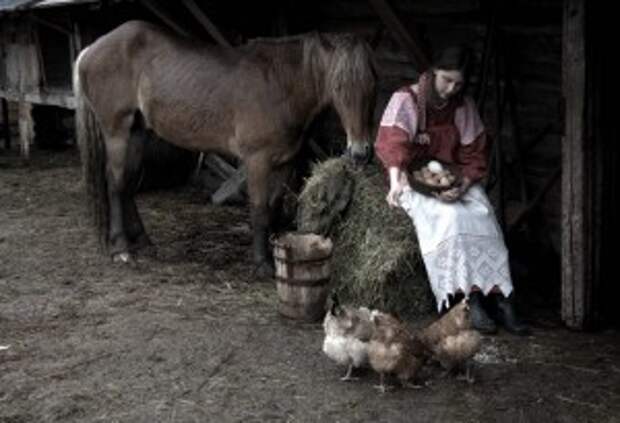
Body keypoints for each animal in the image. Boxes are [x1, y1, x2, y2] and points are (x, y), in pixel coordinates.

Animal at [72, 20, 372, 278]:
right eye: (338, 86)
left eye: (374, 82)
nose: (360, 153)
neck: (279, 83)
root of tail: (89, 50)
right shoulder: (257, 161)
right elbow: (260, 209)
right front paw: (262, 264)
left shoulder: (285, 162)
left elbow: (274, 206)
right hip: (117, 132)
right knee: (115, 184)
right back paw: (121, 249)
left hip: (137, 132)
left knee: (128, 184)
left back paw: (143, 241)